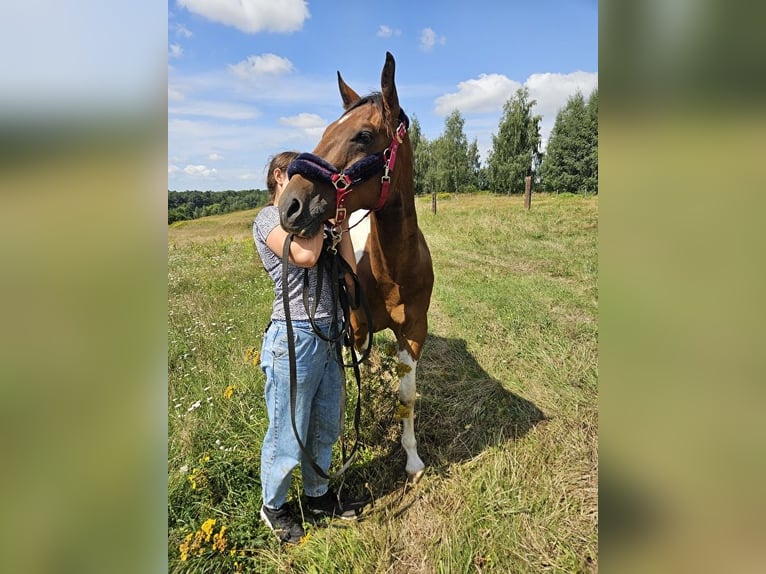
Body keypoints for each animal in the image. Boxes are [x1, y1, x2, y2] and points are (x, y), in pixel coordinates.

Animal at [280, 53, 436, 486]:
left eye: (363, 136)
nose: (289, 206)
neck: (394, 270)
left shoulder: (414, 332)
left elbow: (406, 397)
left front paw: (412, 460)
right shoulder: (355, 324)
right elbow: (353, 376)